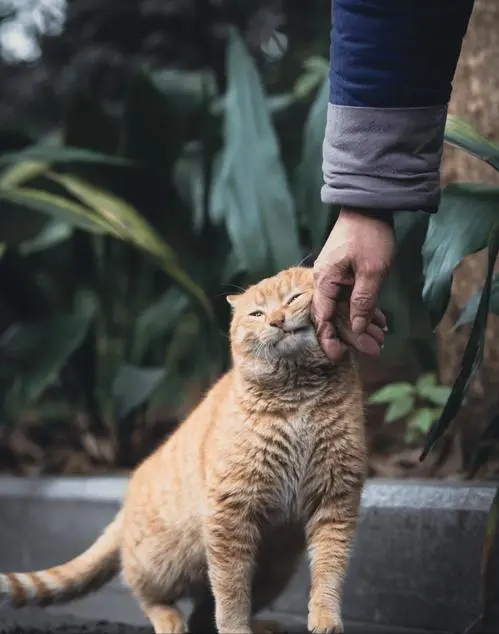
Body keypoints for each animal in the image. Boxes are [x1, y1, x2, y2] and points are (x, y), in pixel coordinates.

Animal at [0, 266, 368, 632]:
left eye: (294, 297)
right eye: (257, 314)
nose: (276, 320)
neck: (298, 398)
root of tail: (128, 496)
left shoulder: (336, 500)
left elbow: (328, 571)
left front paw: (325, 618)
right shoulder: (230, 510)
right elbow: (230, 591)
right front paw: (236, 630)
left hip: (274, 568)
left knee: (203, 611)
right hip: (167, 559)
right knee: (145, 590)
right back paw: (169, 619)